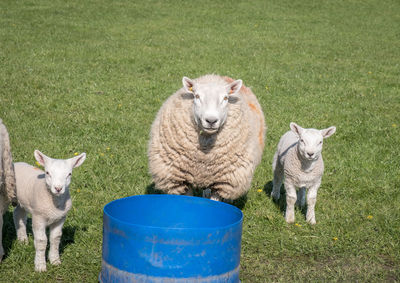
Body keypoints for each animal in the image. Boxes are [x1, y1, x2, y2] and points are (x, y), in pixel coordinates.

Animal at [147, 73, 266, 202]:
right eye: (197, 96)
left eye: (225, 98)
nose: (211, 120)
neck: (204, 152)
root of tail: (218, 76)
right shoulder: (180, 179)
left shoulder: (223, 182)